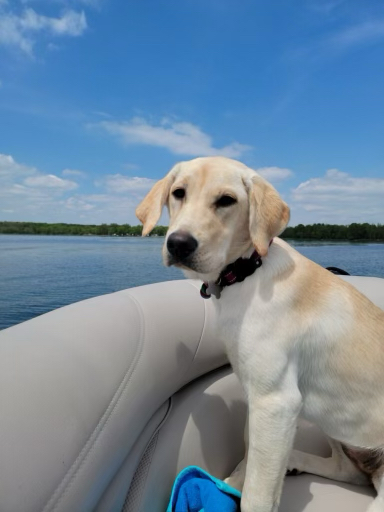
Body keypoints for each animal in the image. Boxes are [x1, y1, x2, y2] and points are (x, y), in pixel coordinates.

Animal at [136, 156, 384, 512]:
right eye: (178, 193)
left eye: (226, 200)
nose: (178, 244)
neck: (246, 273)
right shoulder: (258, 396)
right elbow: (251, 454)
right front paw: (235, 481)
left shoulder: (275, 400)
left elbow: (257, 493)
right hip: (334, 422)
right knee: (346, 470)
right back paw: (294, 460)